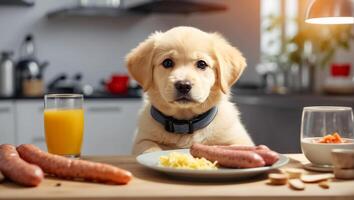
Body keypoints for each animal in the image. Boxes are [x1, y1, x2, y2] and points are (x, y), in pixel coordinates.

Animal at [126, 26, 253, 155]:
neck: (184, 125)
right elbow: (149, 147)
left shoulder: (239, 140)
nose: (183, 85)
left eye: (202, 64)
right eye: (167, 62)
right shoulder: (142, 139)